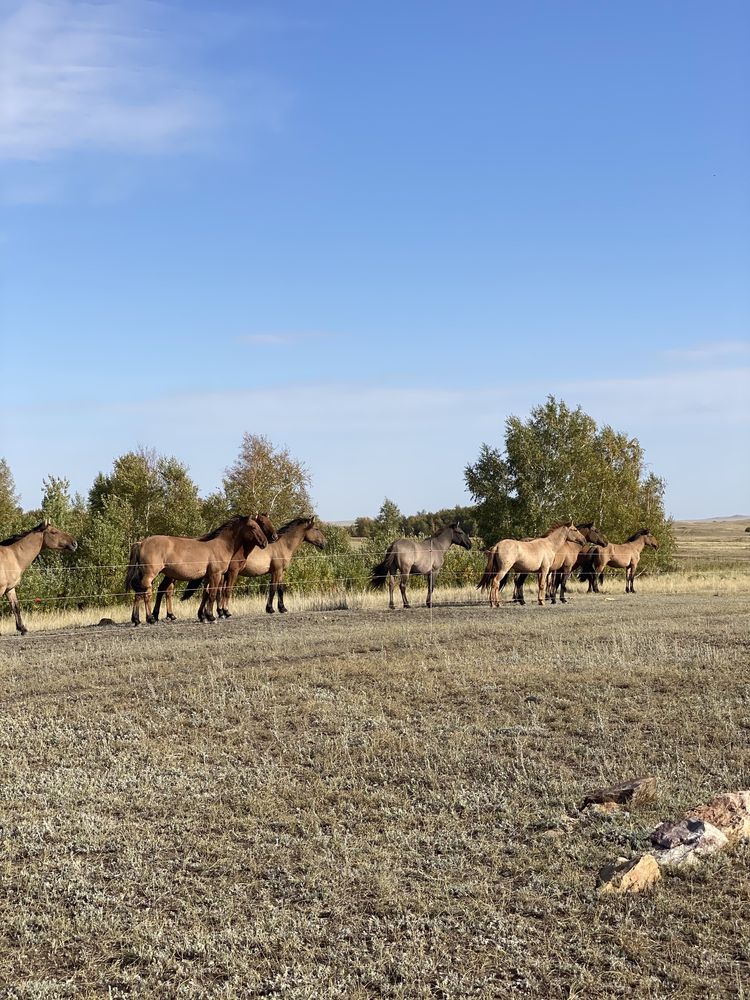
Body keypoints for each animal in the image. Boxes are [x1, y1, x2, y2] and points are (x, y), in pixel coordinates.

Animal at [125, 516, 270, 624]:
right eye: (253, 527)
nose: (265, 543)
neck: (220, 545)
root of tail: (141, 543)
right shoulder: (216, 575)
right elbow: (213, 594)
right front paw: (212, 616)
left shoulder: (208, 576)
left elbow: (206, 594)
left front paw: (203, 616)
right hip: (149, 574)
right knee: (146, 594)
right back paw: (150, 618)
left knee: (139, 594)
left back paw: (136, 619)